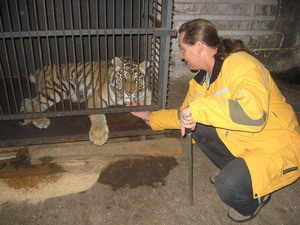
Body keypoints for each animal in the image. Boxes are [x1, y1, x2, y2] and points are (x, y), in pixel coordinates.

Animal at [20, 56, 152, 146]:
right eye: (123, 79)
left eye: (136, 80)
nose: (129, 93)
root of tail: (47, 67)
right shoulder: (97, 96)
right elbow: (98, 115)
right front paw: (99, 136)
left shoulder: (147, 92)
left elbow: (151, 104)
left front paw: (149, 117)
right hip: (59, 88)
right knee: (36, 102)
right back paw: (40, 120)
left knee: (29, 100)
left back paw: (26, 117)